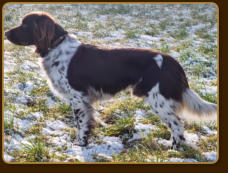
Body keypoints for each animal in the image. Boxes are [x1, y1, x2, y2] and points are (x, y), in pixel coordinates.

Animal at [4, 11, 216, 148]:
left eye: (24, 25)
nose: (5, 32)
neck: (56, 46)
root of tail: (173, 62)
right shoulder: (84, 100)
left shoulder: (77, 98)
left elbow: (80, 125)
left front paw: (80, 145)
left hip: (159, 101)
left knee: (177, 125)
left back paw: (173, 150)